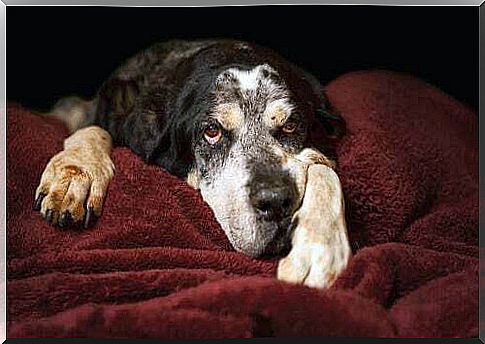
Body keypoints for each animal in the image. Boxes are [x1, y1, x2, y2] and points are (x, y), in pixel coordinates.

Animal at [32, 39, 350, 288]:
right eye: (212, 131)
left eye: (291, 125)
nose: (274, 202)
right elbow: (94, 130)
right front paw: (76, 174)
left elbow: (322, 168)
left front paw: (321, 245)